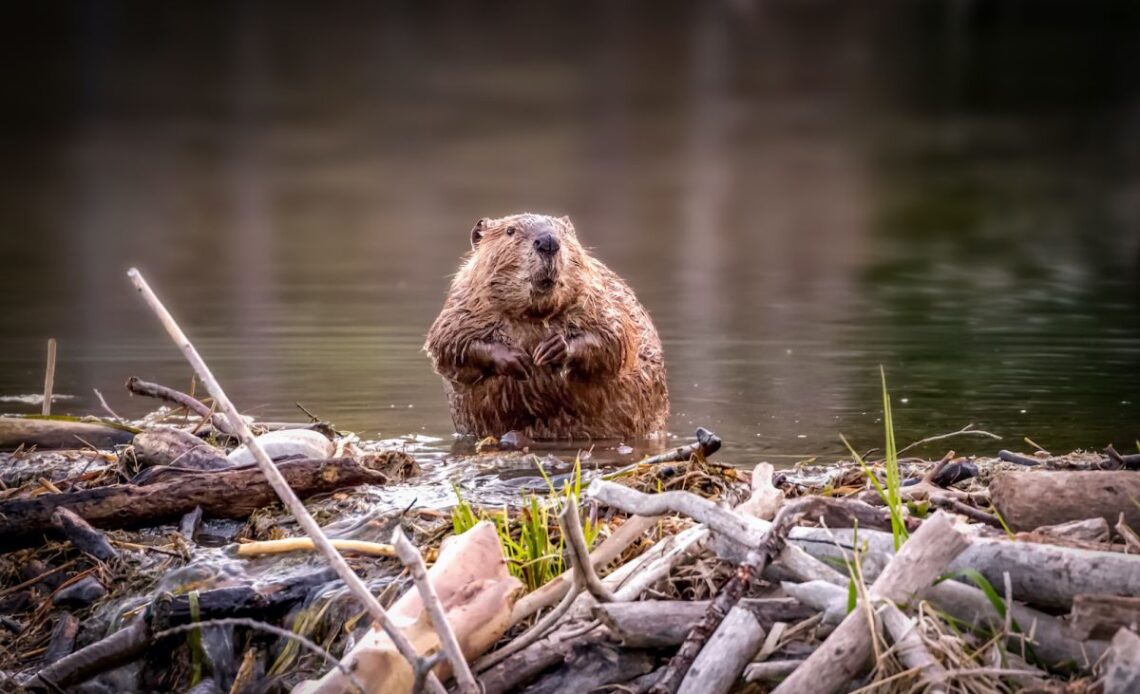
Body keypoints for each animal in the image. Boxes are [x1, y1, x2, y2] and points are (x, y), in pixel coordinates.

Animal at [426, 211, 665, 437]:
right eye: (510, 231)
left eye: (564, 232)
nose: (548, 241)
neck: (533, 315)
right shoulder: (462, 304)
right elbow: (448, 344)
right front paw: (517, 359)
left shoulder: (599, 297)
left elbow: (615, 338)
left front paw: (552, 349)